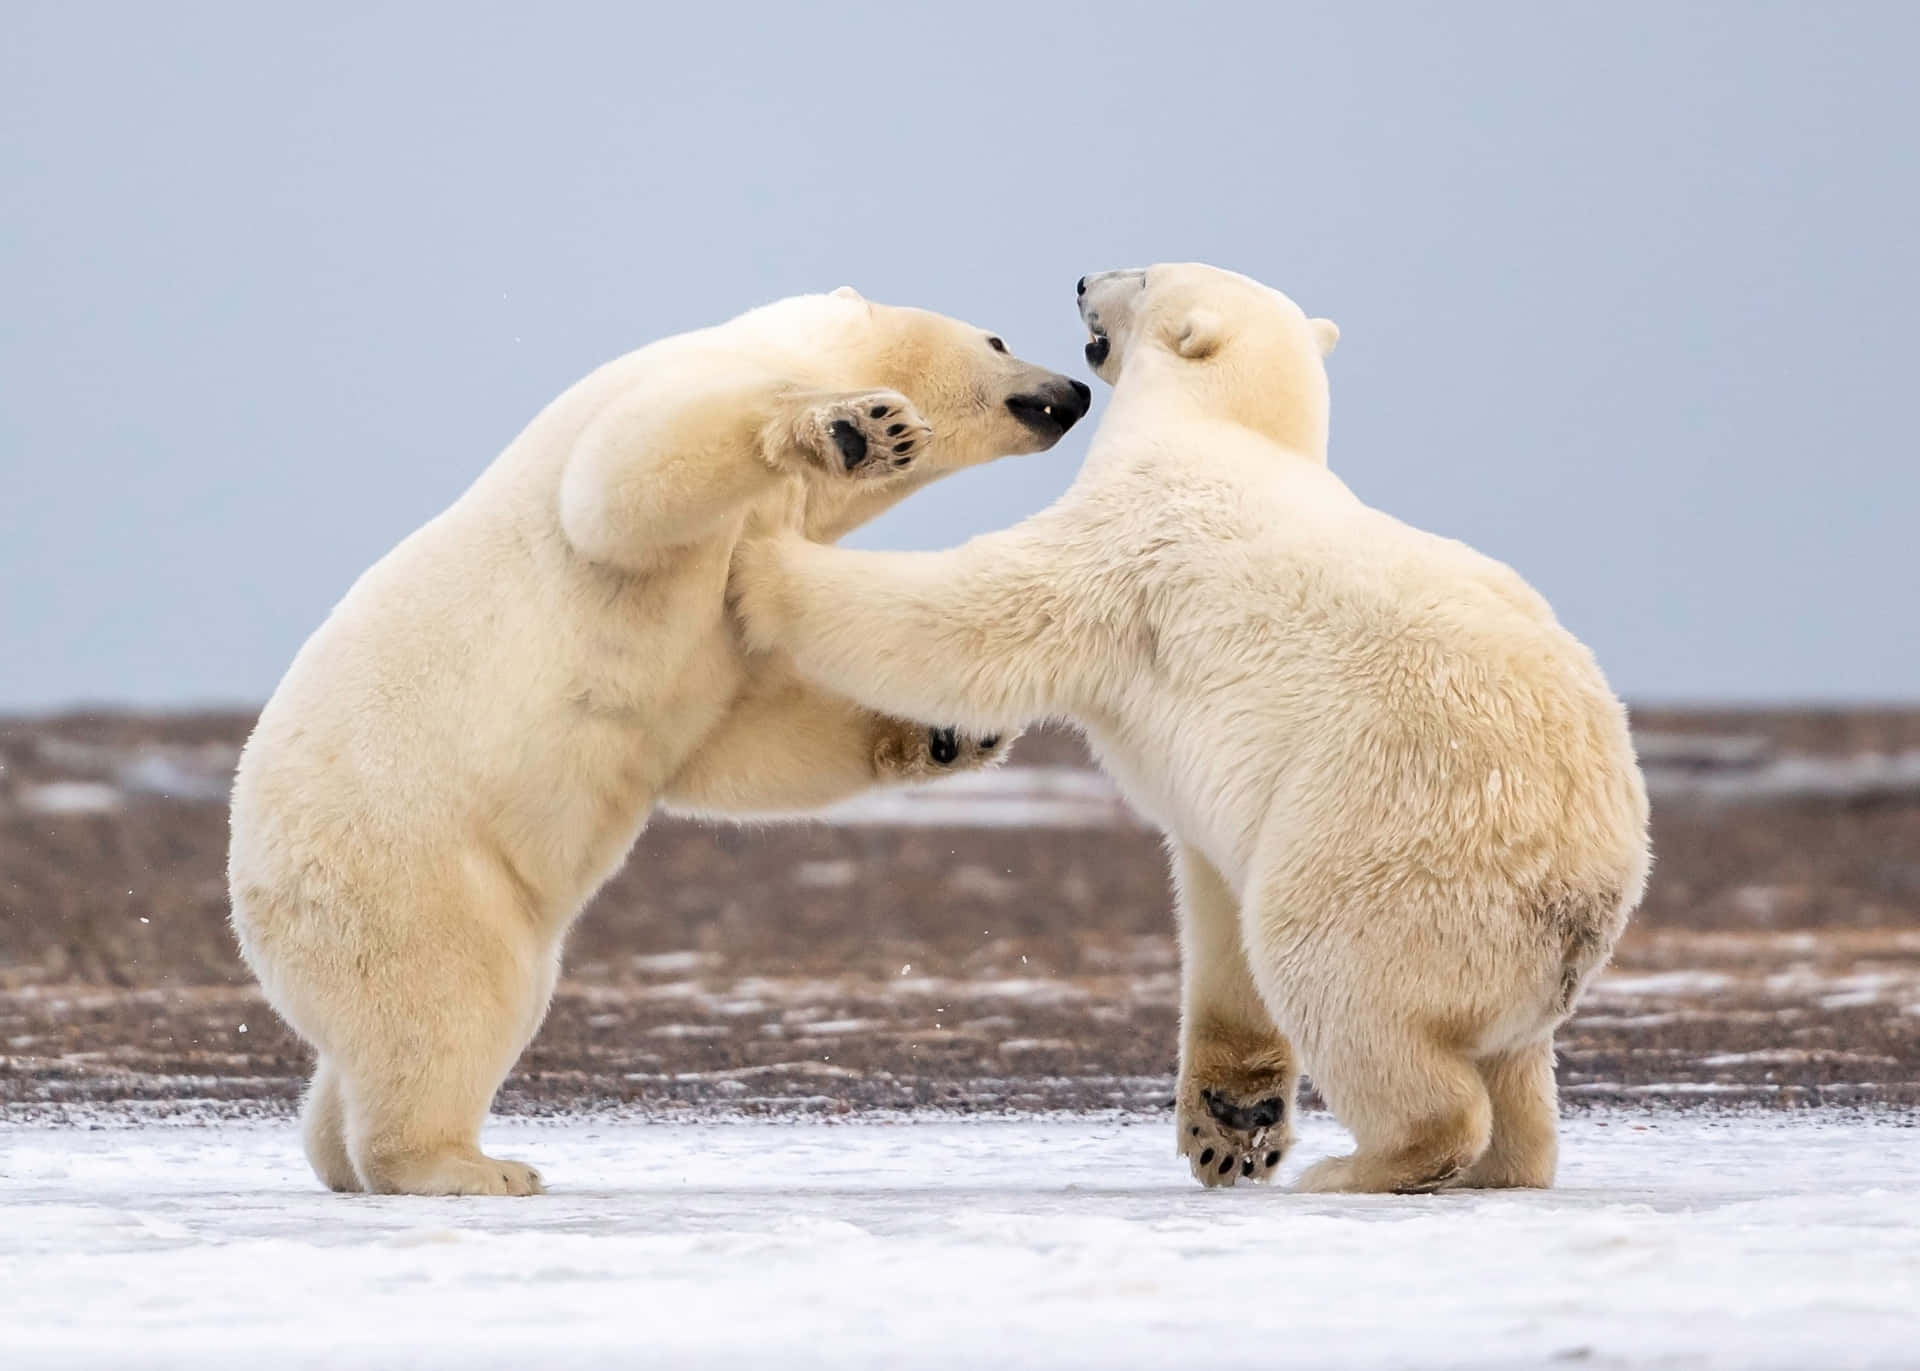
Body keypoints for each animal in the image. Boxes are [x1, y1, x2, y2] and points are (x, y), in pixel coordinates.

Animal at [228, 286, 1082, 1182]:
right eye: (998, 338)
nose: (1074, 392)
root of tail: (253, 897)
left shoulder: (747, 579)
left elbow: (745, 732)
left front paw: (952, 730)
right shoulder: (669, 395)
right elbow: (619, 486)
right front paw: (859, 427)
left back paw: (341, 1151)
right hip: (407, 868)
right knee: (450, 1003)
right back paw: (467, 1166)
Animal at [733, 264, 1651, 1182]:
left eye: (1142, 276)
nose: (1083, 279)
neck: (1229, 428)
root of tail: (1584, 895)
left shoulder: (1133, 539)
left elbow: (978, 616)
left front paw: (764, 561)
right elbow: (1216, 907)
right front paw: (1230, 1120)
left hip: (1390, 843)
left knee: (1337, 980)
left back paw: (1366, 1164)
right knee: (1511, 1066)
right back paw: (1504, 1163)